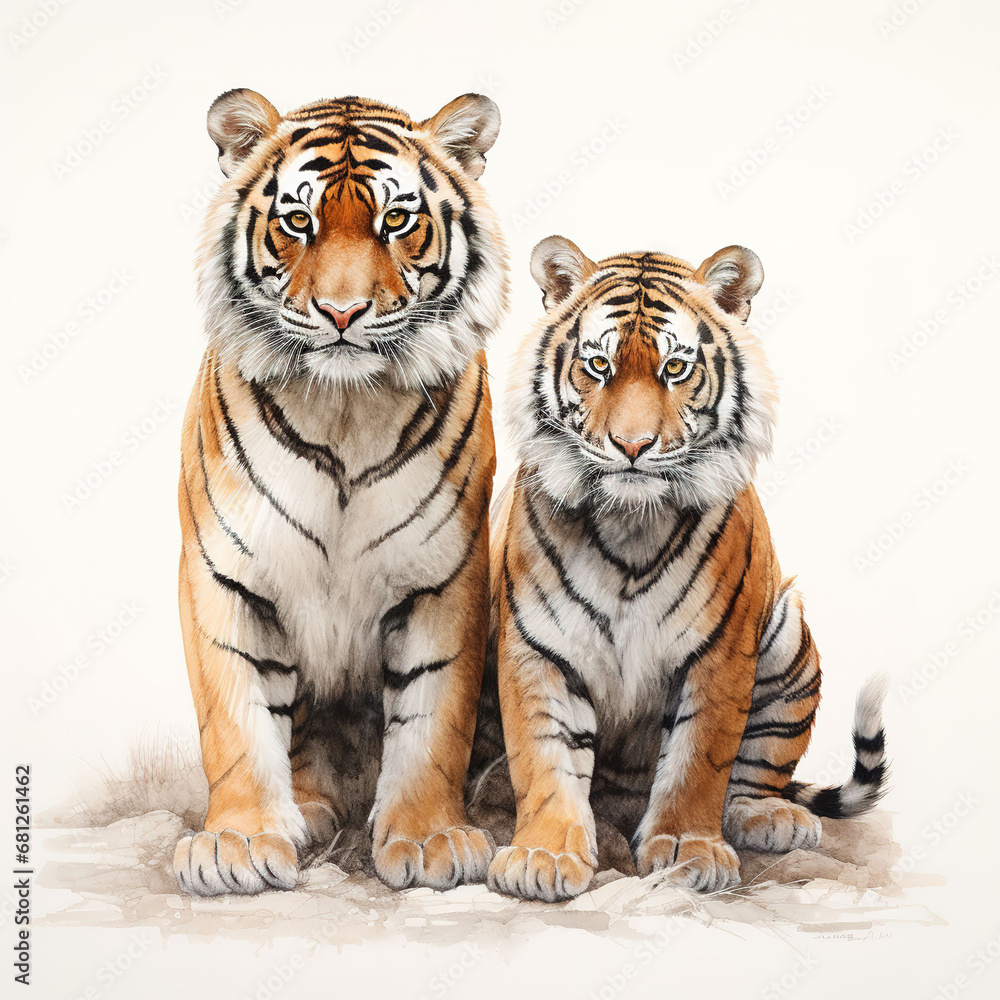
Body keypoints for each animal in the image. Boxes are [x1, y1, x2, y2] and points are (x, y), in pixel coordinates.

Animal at [173, 88, 509, 896]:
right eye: (299, 222)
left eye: (397, 221)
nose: (343, 313)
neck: (346, 407)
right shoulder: (223, 570)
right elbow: (234, 716)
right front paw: (238, 841)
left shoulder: (444, 575)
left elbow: (433, 718)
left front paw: (429, 838)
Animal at [477, 236, 889, 901]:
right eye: (599, 366)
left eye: (675, 368)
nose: (632, 446)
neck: (630, 524)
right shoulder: (539, 647)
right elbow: (546, 756)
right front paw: (544, 854)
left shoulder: (719, 653)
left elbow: (699, 760)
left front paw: (687, 850)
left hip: (787, 637)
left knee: (758, 769)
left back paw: (769, 817)